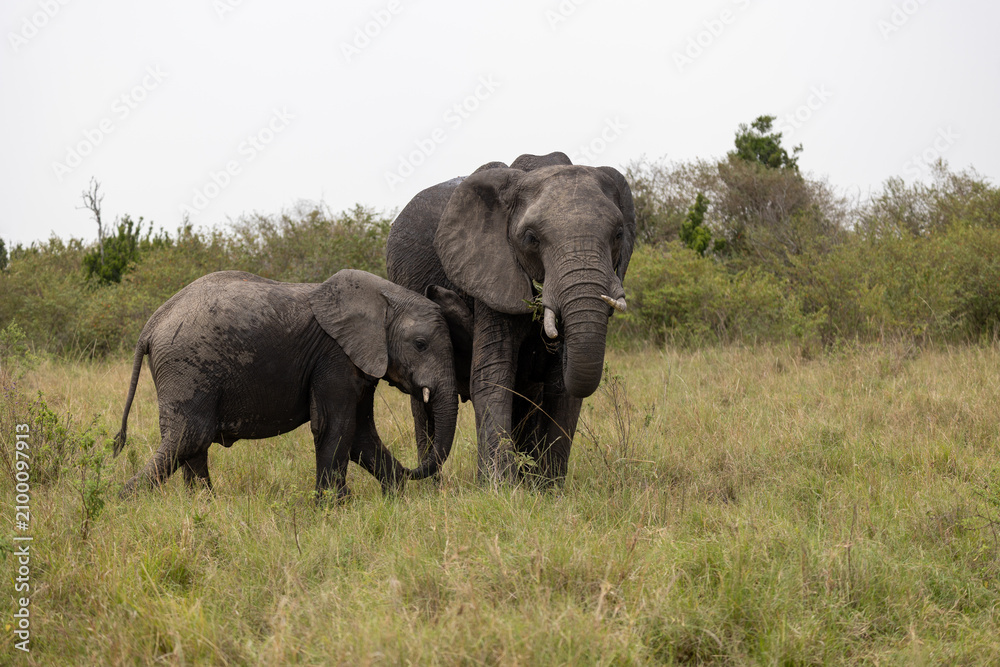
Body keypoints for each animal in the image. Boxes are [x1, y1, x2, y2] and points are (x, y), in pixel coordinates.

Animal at [112, 269, 471, 499]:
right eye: (421, 344)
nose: (439, 289)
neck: (386, 297)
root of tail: (152, 324)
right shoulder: (335, 356)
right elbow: (335, 425)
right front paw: (334, 507)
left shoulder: (358, 358)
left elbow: (360, 434)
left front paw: (396, 498)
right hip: (187, 367)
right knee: (189, 438)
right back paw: (121, 501)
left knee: (191, 444)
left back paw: (202, 505)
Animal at [386, 152, 636, 485]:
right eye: (531, 238)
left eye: (619, 234)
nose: (437, 292)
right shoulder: (489, 272)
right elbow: (493, 373)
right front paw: (498, 487)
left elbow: (561, 386)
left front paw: (548, 488)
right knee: (422, 405)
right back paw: (432, 489)